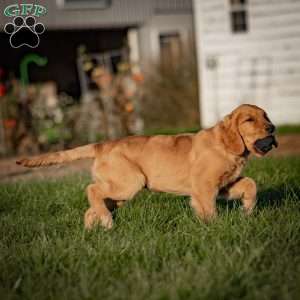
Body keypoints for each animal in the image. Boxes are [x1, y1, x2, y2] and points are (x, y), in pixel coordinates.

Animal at [17, 104, 278, 229]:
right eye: (249, 120)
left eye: (266, 116)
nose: (273, 128)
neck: (225, 145)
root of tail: (102, 144)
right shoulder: (204, 187)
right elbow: (208, 210)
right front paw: (214, 228)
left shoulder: (224, 185)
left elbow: (250, 184)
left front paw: (247, 211)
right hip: (129, 182)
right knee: (91, 190)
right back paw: (107, 222)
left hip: (118, 193)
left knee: (91, 206)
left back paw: (94, 229)